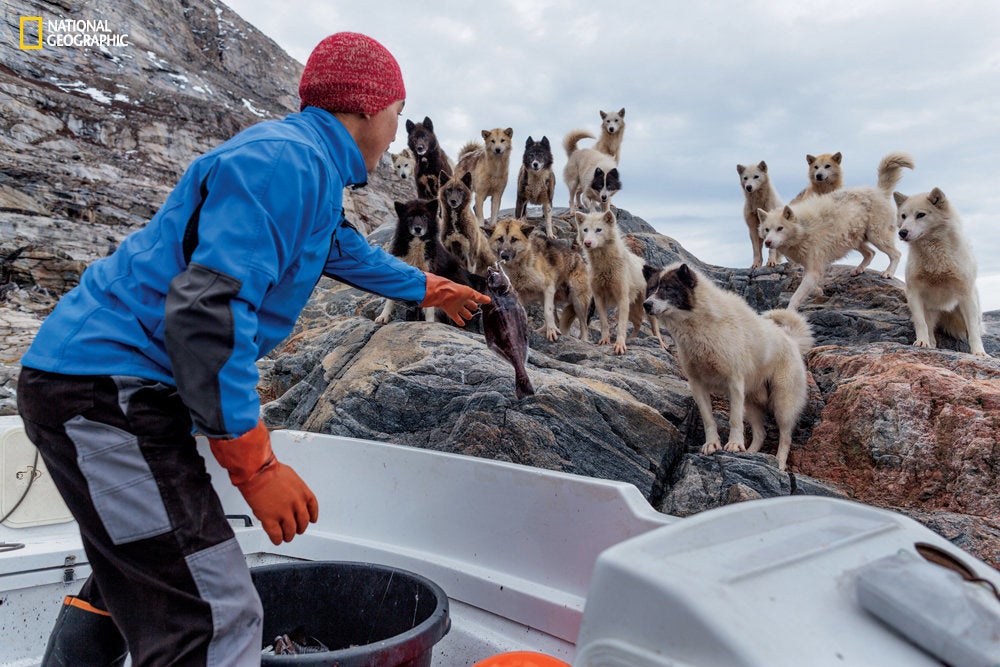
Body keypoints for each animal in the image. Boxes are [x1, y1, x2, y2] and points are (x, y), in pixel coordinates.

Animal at [580, 210, 664, 354]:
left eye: (598, 229)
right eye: (585, 230)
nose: (587, 243)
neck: (604, 264)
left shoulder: (622, 298)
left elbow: (621, 326)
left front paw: (619, 345)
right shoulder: (598, 298)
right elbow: (604, 323)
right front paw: (604, 340)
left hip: (645, 306)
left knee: (655, 328)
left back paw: (661, 344)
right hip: (632, 308)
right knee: (638, 323)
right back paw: (631, 339)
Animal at [644, 260, 816, 470]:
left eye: (668, 288)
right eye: (651, 288)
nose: (646, 304)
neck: (699, 325)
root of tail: (791, 340)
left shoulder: (734, 383)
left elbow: (734, 419)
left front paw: (734, 444)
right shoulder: (697, 385)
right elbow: (708, 419)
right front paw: (712, 444)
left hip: (782, 404)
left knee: (785, 437)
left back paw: (779, 464)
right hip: (751, 403)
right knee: (761, 433)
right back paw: (750, 453)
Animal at [756, 151, 916, 310]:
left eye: (780, 228)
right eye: (766, 230)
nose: (767, 243)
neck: (804, 229)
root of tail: (879, 191)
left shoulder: (814, 269)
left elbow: (795, 297)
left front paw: (788, 312)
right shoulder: (810, 268)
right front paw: (816, 291)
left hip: (876, 237)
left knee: (896, 254)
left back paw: (888, 273)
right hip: (854, 241)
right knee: (871, 253)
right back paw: (858, 270)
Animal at [896, 187, 988, 354]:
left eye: (920, 215)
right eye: (903, 216)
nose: (902, 233)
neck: (934, 255)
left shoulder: (966, 296)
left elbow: (973, 331)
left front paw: (979, 352)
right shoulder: (914, 293)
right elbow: (921, 323)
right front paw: (921, 342)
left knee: (974, 328)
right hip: (930, 311)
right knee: (930, 329)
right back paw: (929, 343)